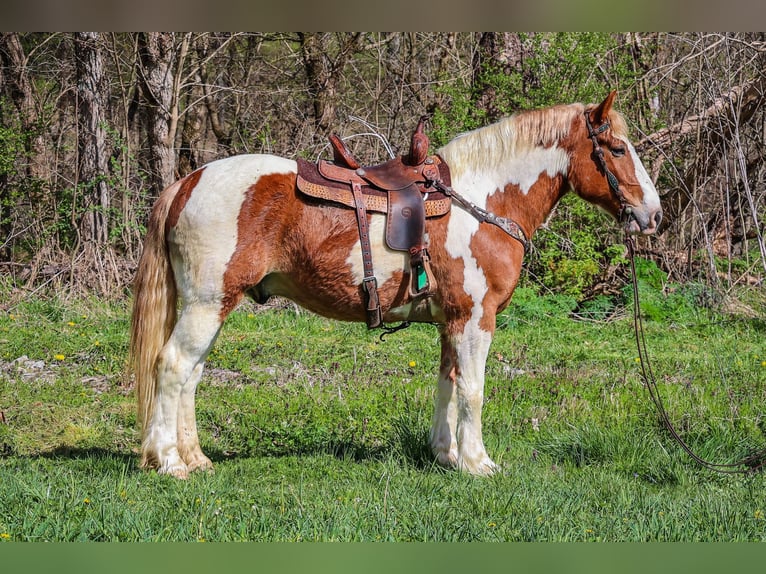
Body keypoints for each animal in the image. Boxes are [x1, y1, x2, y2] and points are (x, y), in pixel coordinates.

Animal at [129, 91, 664, 482]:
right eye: (617, 149)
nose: (653, 215)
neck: (482, 199)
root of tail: (188, 182)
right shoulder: (475, 319)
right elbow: (473, 390)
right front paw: (478, 464)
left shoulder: (452, 322)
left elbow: (448, 384)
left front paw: (447, 455)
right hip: (206, 305)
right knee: (173, 367)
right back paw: (169, 461)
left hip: (212, 307)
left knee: (192, 375)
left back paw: (194, 457)